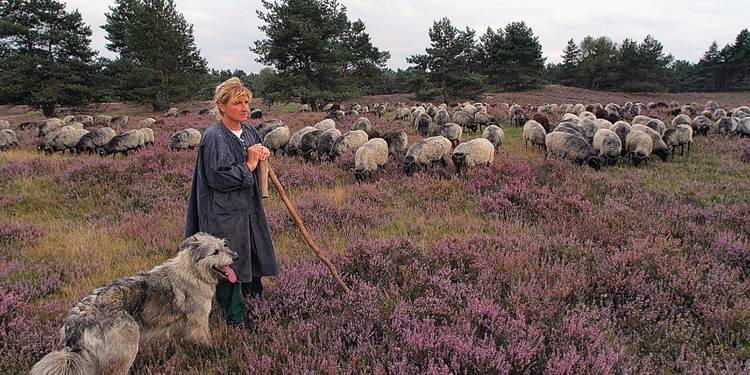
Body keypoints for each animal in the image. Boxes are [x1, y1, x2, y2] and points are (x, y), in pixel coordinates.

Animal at [31, 234, 238, 374]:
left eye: (224, 245)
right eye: (215, 252)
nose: (236, 256)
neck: (192, 270)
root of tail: (77, 320)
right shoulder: (199, 322)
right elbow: (207, 342)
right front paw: (214, 354)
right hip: (126, 349)